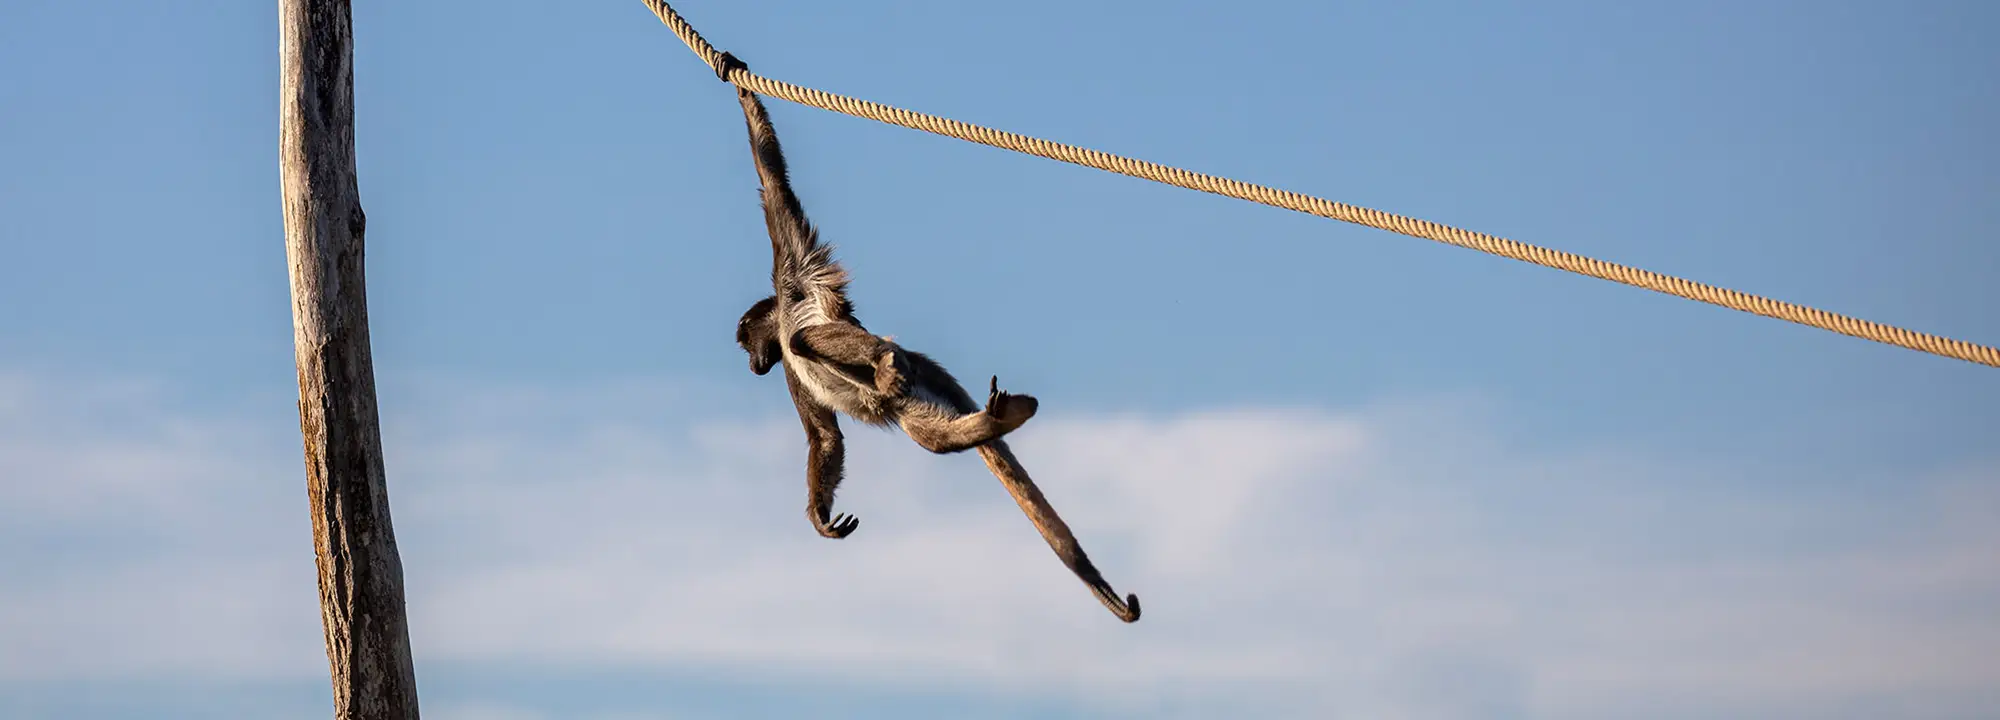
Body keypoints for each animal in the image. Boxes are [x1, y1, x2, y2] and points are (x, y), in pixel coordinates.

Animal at [720, 54, 1141, 623]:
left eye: (745, 345)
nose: (750, 365)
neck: (781, 323)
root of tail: (908, 364)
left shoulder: (794, 271)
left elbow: (772, 182)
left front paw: (736, 82)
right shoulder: (786, 364)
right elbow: (826, 438)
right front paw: (820, 517)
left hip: (900, 365)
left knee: (820, 342)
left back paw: (885, 366)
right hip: (913, 397)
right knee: (931, 435)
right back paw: (998, 418)